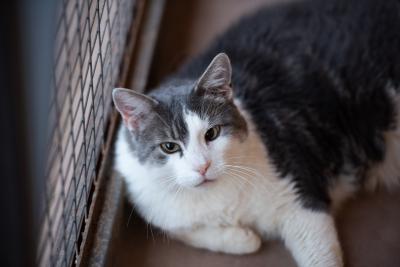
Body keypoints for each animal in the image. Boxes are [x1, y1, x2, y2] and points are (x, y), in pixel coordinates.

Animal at [111, 0, 400, 267]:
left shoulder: (299, 196)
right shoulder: (153, 206)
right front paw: (243, 237)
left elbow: (319, 254)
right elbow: (180, 230)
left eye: (212, 133)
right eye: (169, 147)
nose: (203, 167)